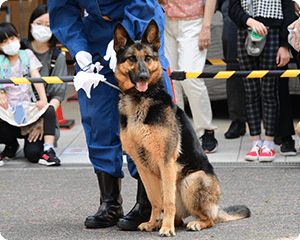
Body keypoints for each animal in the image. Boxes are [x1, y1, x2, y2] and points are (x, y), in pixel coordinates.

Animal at [113, 20, 250, 236]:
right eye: (131, 58)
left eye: (148, 58)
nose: (143, 76)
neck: (141, 100)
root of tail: (216, 206)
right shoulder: (142, 165)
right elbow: (154, 199)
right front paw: (152, 222)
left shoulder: (166, 161)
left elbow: (168, 201)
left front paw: (166, 229)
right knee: (176, 214)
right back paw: (162, 222)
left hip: (190, 181)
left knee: (208, 219)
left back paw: (192, 223)